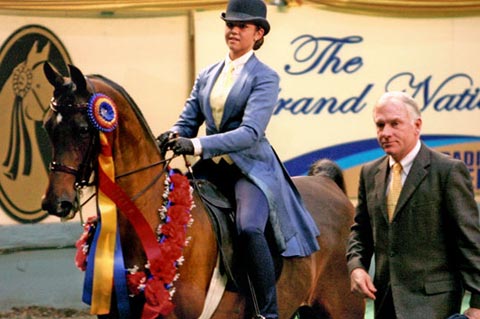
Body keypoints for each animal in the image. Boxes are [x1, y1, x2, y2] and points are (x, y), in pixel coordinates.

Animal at [41, 63, 364, 319]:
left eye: (83, 129)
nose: (56, 203)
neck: (153, 214)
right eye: (47, 127)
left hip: (344, 307)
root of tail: (328, 184)